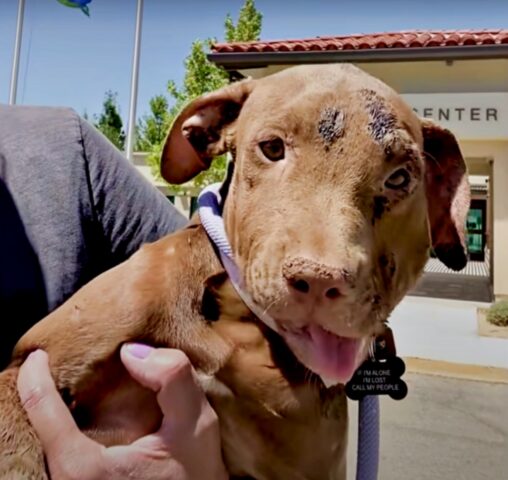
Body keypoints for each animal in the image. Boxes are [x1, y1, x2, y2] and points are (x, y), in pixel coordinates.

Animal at [0, 63, 468, 480]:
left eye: (400, 178)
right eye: (272, 148)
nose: (319, 280)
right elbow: (17, 456)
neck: (238, 320)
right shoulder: (28, 365)